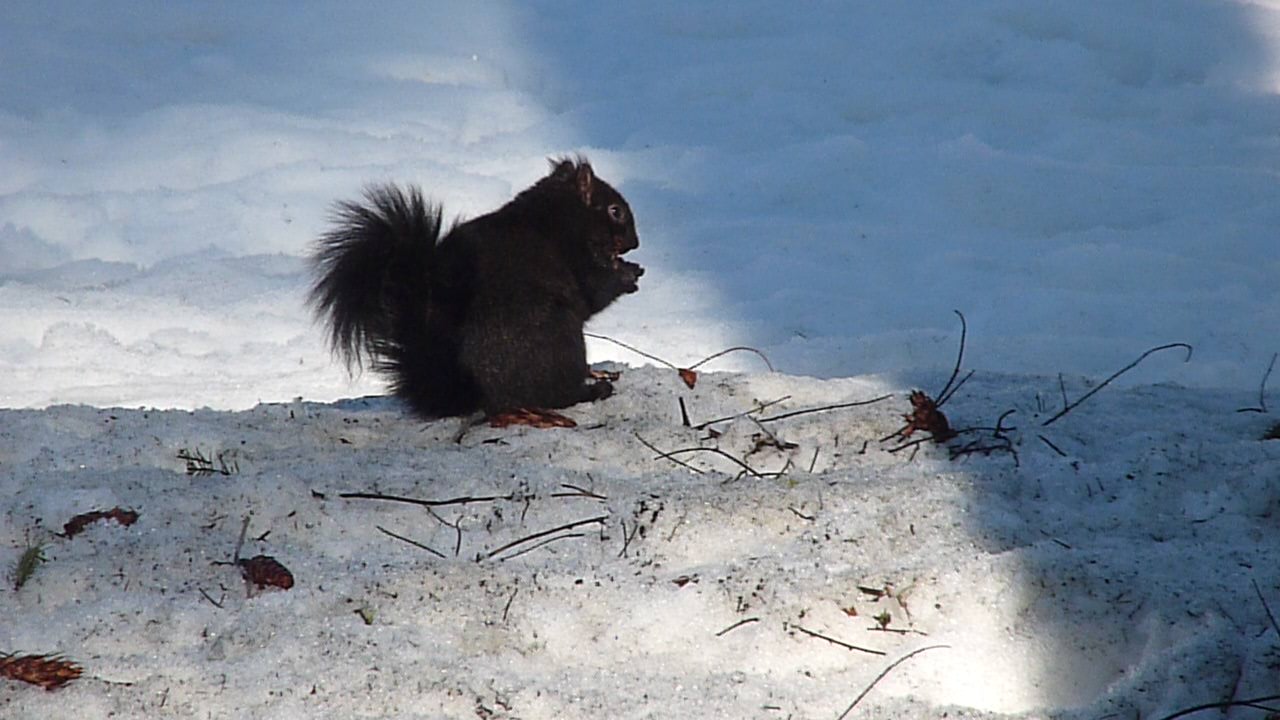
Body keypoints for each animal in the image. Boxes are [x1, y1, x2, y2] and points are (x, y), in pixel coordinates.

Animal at [309, 158, 643, 423]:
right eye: (615, 210)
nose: (635, 243)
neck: (561, 213)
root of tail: (478, 392)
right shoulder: (577, 256)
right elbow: (596, 289)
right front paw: (629, 275)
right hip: (560, 340)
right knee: (557, 395)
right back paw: (594, 389)